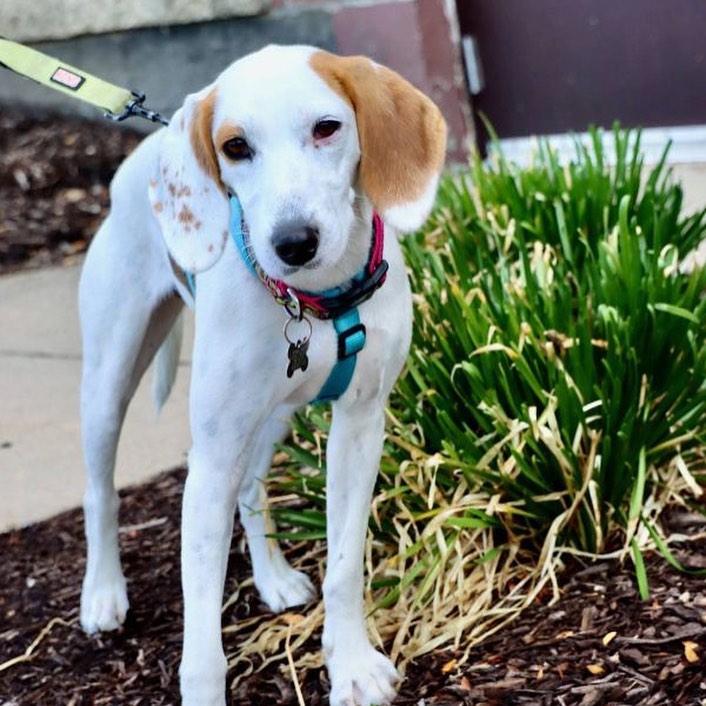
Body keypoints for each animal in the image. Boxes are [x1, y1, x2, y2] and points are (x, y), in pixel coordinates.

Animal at [78, 45, 446, 704]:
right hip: (108, 379)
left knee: (251, 490)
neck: (316, 299)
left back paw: (271, 578)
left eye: (326, 128)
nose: (293, 242)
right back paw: (102, 593)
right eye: (234, 147)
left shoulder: (360, 426)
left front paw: (351, 666)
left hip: (274, 415)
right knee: (100, 491)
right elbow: (201, 644)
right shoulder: (210, 462)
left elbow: (345, 567)